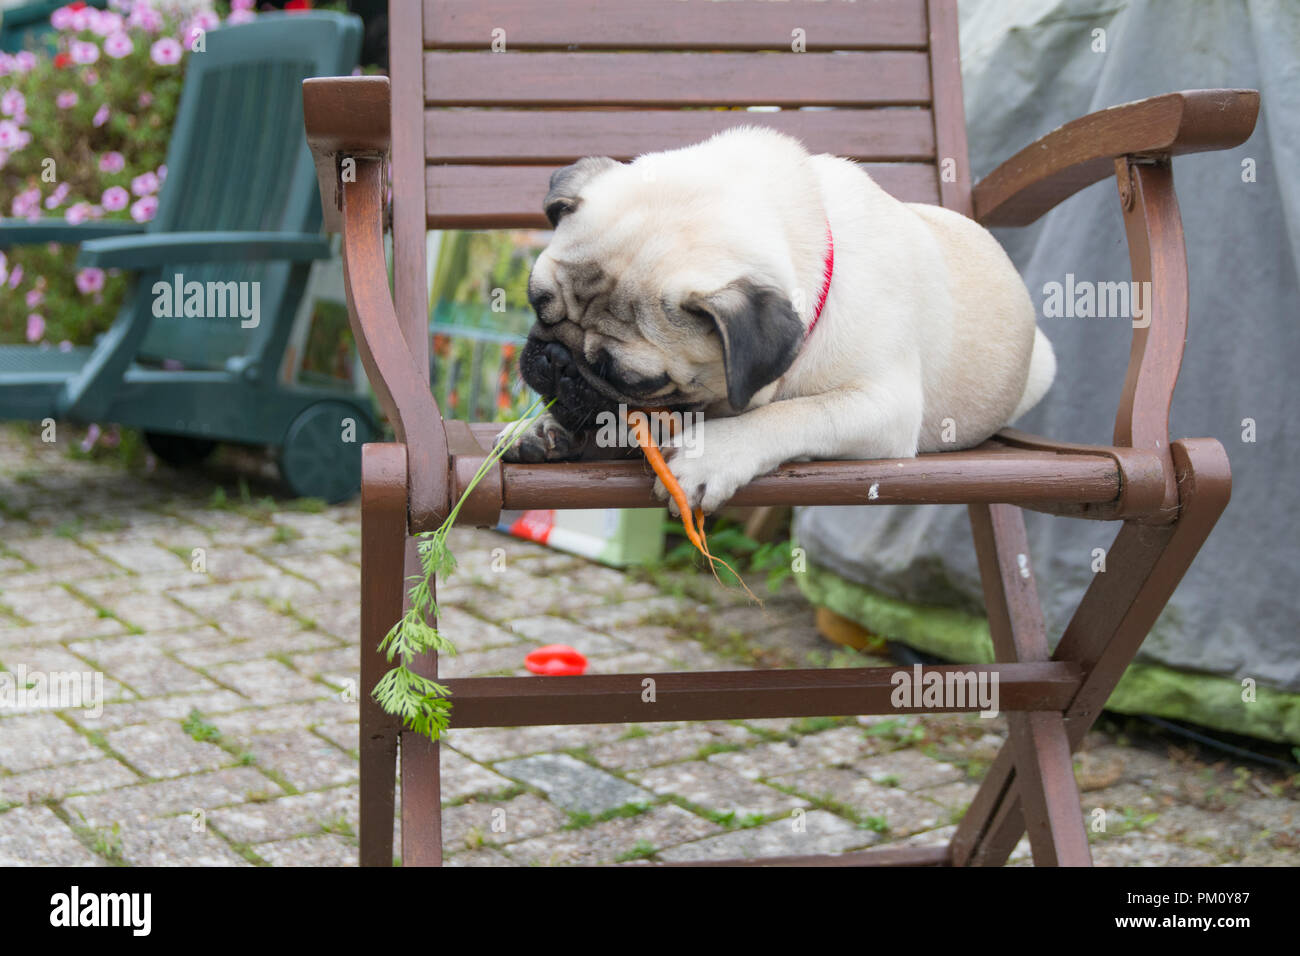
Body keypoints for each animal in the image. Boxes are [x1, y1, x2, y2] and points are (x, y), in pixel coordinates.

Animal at [499, 128, 1055, 515]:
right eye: (537, 303)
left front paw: (713, 453)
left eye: (633, 381)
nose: (555, 359)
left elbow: (793, 414)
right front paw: (545, 428)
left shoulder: (885, 406)